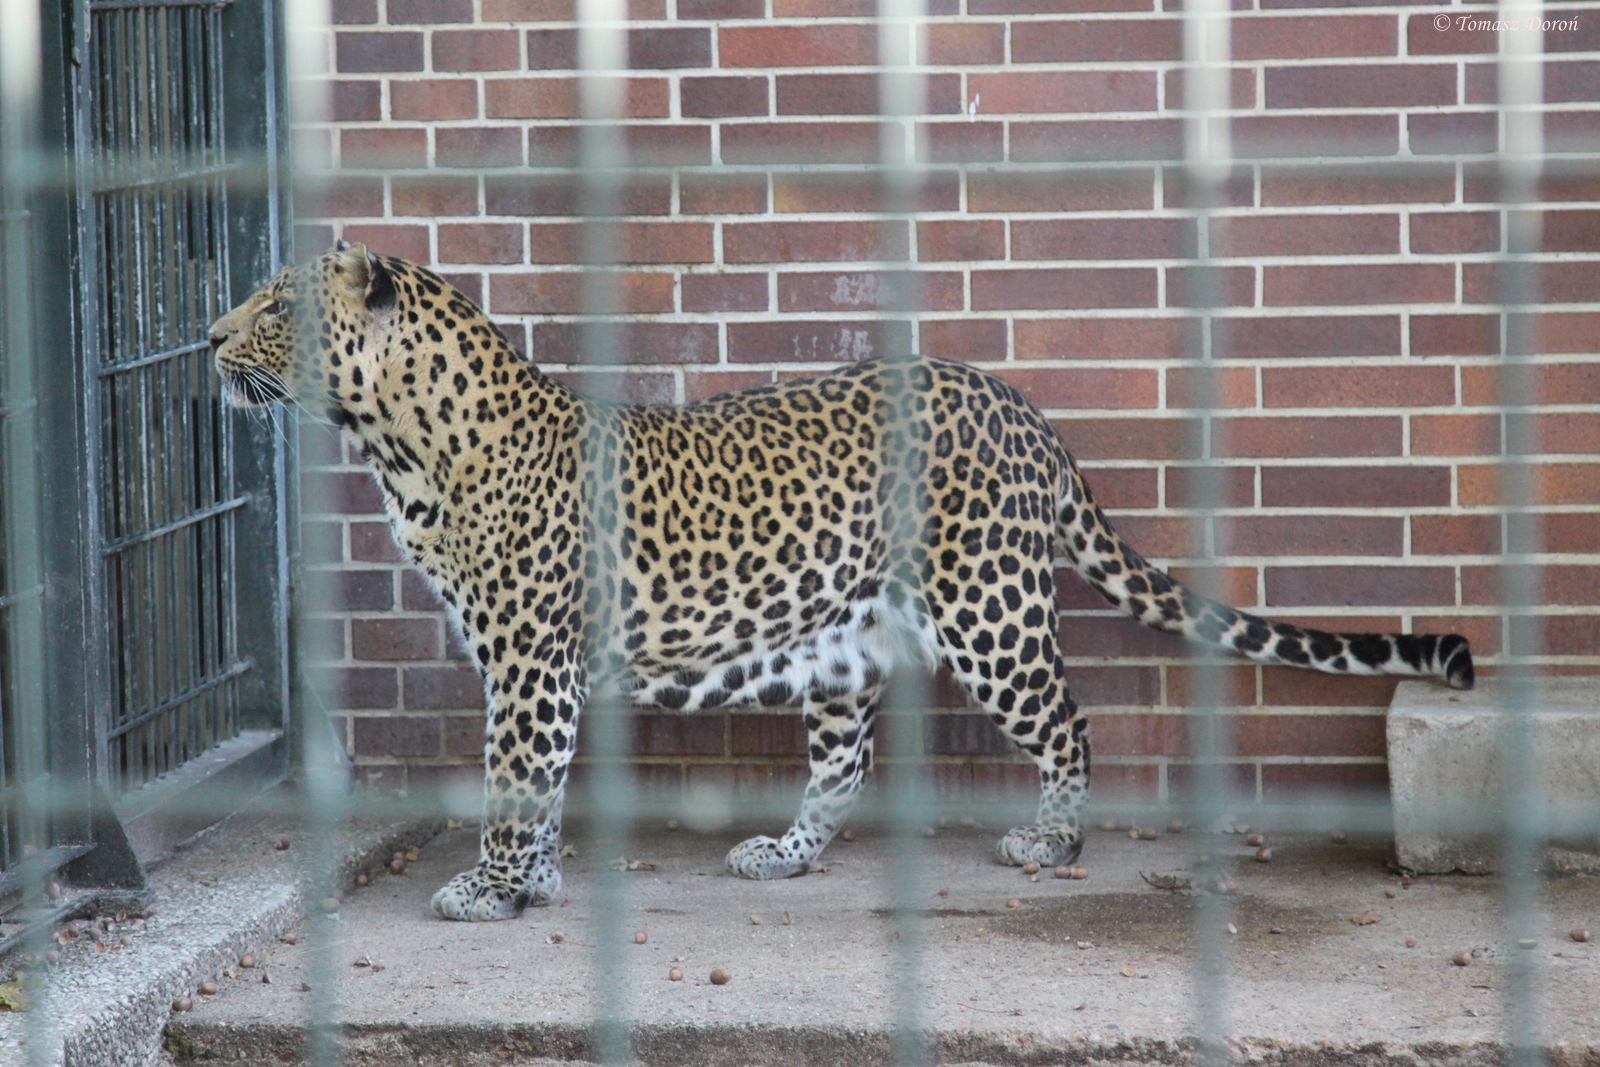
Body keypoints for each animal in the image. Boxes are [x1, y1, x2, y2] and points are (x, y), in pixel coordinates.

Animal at [209, 244, 1475, 922]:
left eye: (277, 305)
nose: (208, 339)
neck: (400, 444)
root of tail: (1022, 408)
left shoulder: (527, 660)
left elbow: (514, 776)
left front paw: (486, 888)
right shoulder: (540, 669)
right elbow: (546, 778)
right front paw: (538, 885)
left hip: (989, 607)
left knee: (1068, 718)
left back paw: (1050, 845)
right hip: (843, 639)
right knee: (846, 761)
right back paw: (786, 850)